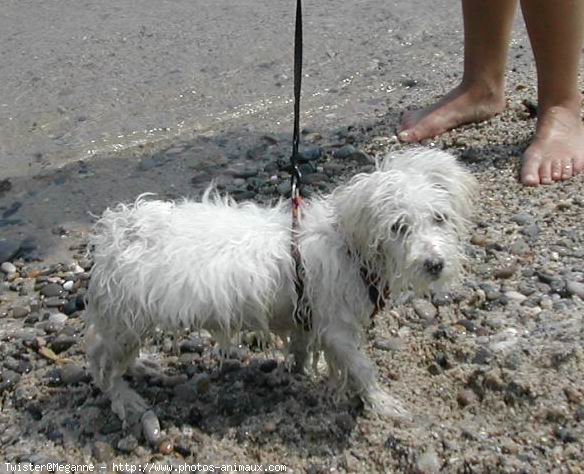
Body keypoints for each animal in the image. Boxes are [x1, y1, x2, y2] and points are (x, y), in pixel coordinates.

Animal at [84, 147, 476, 436]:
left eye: (439, 218)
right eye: (398, 227)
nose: (435, 264)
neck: (348, 245)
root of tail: (120, 230)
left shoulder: (307, 316)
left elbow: (302, 350)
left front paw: (300, 372)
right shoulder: (337, 328)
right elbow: (361, 367)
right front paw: (382, 402)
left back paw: (142, 368)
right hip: (127, 320)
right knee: (101, 364)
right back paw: (125, 397)